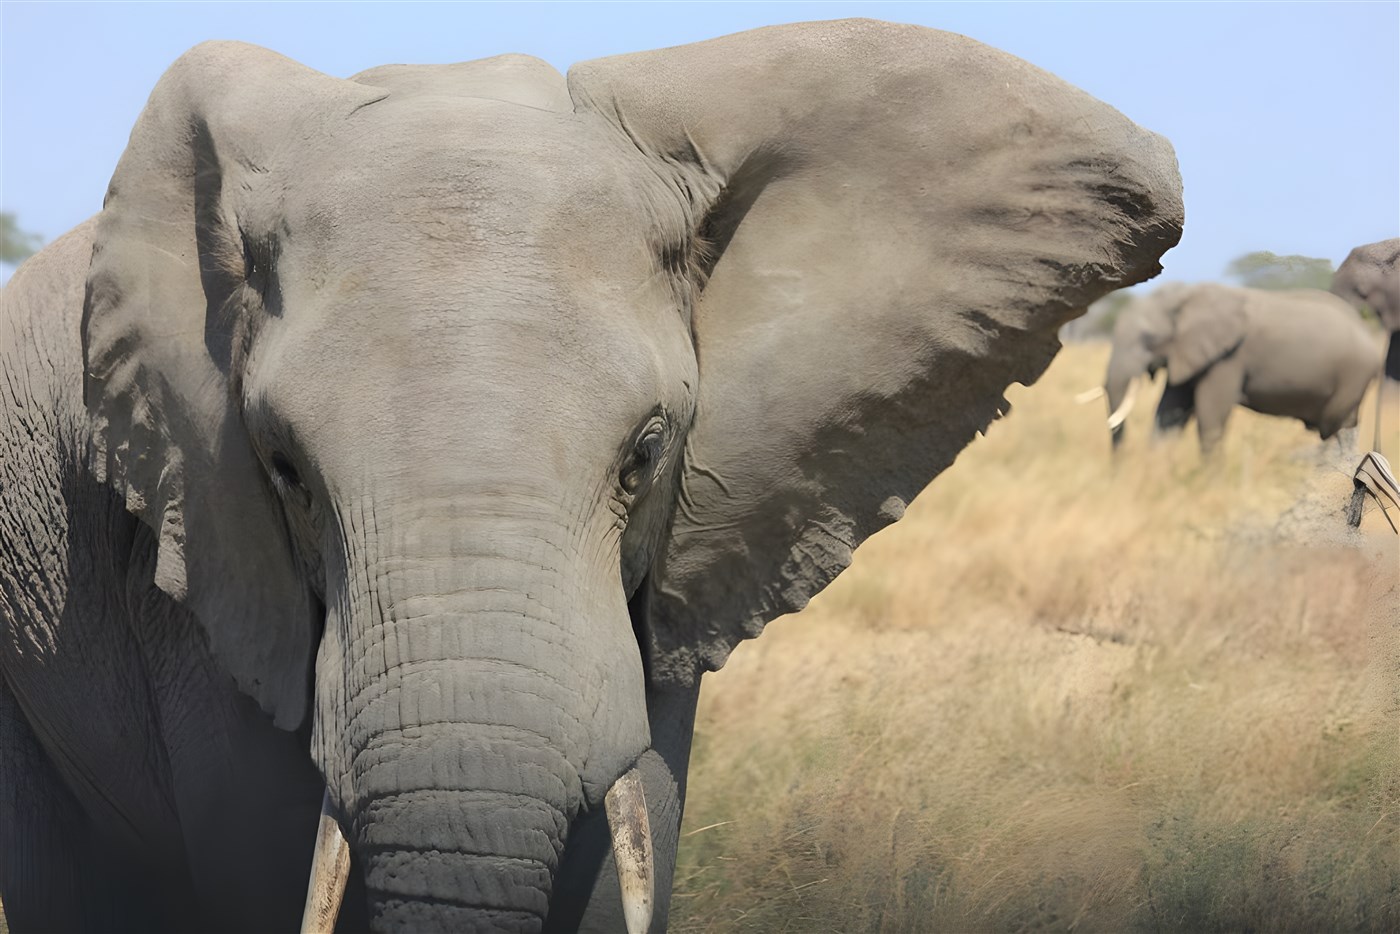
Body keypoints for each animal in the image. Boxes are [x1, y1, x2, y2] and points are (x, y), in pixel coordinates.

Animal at [1102, 282, 1382, 453]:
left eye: (1147, 338)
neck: (1186, 295)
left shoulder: (1229, 358)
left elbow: (1211, 417)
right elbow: (1169, 412)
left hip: (1353, 377)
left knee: (1336, 428)